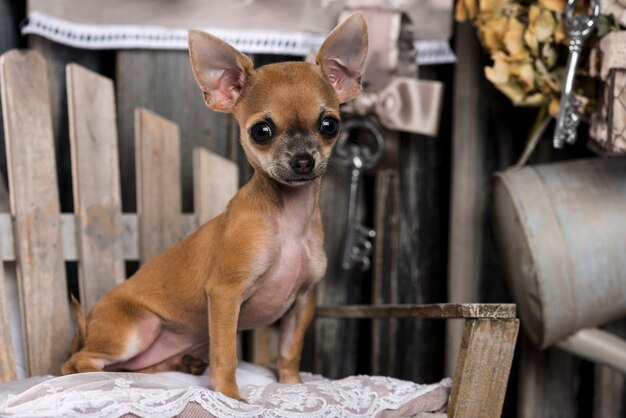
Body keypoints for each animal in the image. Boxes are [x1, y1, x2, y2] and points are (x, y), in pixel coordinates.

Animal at [60, 12, 366, 398]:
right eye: (262, 131)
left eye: (329, 125)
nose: (302, 161)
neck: (287, 220)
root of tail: (85, 326)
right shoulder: (225, 295)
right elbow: (226, 354)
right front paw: (230, 397)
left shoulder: (302, 303)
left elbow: (288, 351)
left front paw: (292, 387)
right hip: (136, 329)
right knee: (77, 363)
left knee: (133, 366)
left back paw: (180, 364)